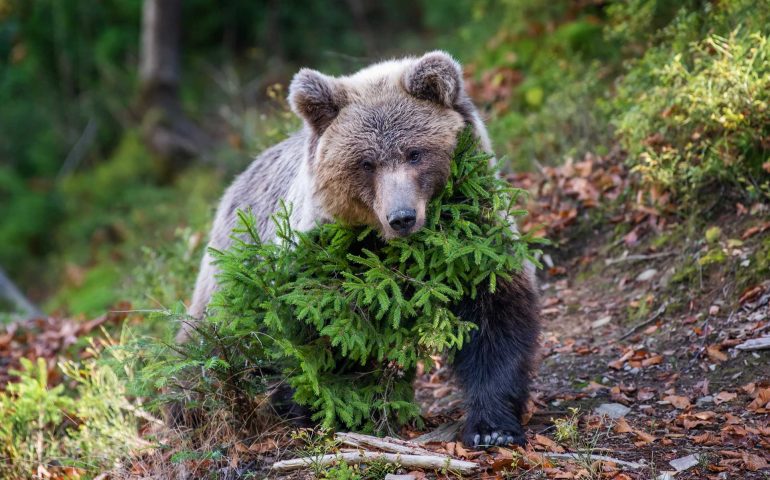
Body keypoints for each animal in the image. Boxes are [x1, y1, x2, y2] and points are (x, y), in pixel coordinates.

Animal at [181, 50, 540, 448]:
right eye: (366, 163)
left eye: (415, 153)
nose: (402, 217)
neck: (396, 253)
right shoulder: (317, 267)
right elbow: (317, 342)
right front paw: (332, 409)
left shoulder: (475, 244)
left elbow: (495, 319)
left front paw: (493, 429)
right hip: (233, 270)